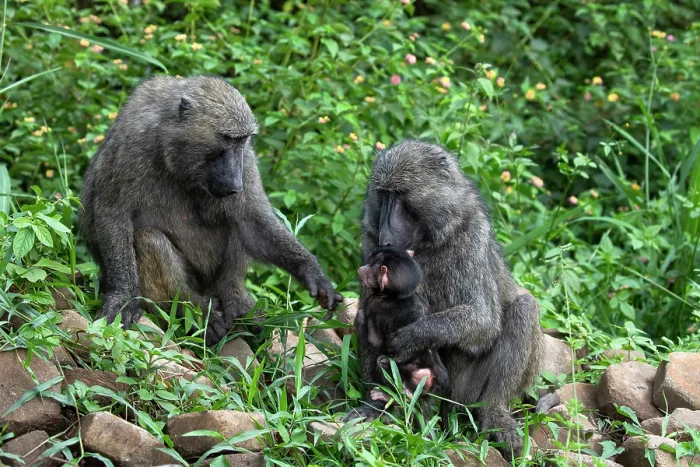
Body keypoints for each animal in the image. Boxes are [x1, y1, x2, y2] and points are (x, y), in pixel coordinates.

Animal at [79, 75, 343, 346]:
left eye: (242, 141)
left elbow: (252, 220)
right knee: (148, 240)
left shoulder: (247, 160)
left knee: (236, 224)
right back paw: (194, 309)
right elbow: (113, 212)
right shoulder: (133, 141)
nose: (235, 184)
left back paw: (233, 297)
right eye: (227, 138)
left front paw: (312, 272)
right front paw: (124, 297)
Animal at [354, 247, 449, 406]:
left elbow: (375, 339)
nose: (360, 269)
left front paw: (360, 316)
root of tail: (431, 374)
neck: (399, 296)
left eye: (371, 267)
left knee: (382, 362)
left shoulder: (375, 305)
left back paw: (393, 396)